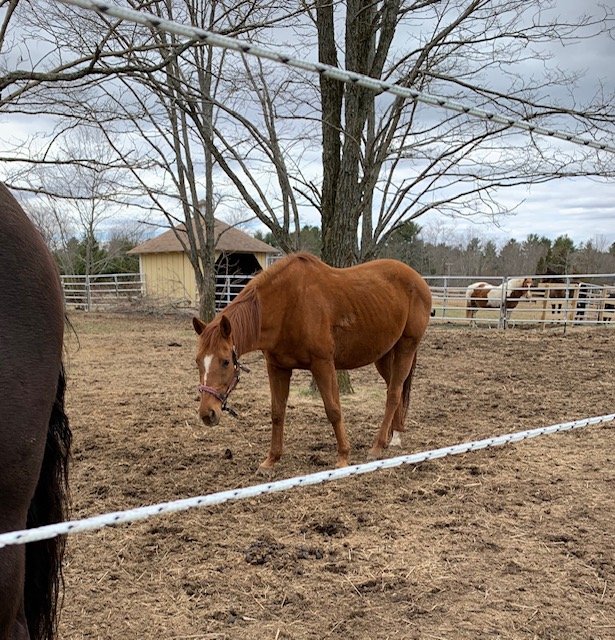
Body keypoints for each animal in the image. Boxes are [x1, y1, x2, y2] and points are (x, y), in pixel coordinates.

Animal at [192, 252, 432, 471]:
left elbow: (333, 410)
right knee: (395, 389)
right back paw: (395, 436)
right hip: (384, 355)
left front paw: (343, 456)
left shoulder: (323, 364)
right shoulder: (277, 368)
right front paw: (271, 459)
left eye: (225, 362)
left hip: (406, 347)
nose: (207, 413)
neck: (287, 305)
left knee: (393, 394)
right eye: (197, 361)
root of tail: (418, 280)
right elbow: (277, 413)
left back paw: (378, 445)